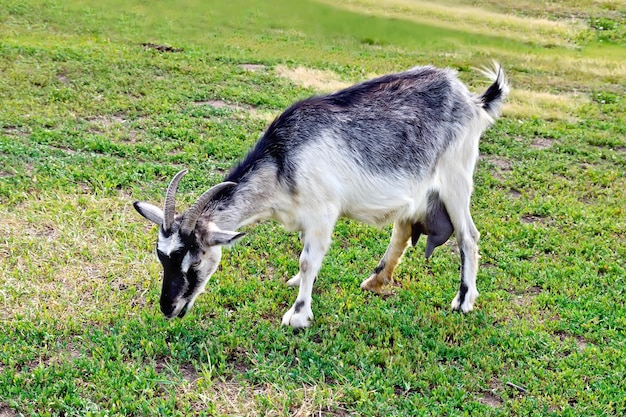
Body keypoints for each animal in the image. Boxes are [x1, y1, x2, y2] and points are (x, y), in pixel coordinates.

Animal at [133, 63, 508, 326]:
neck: (282, 161)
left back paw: (463, 301)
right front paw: (298, 282)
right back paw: (376, 280)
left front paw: (298, 315)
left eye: (195, 263)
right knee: (402, 228)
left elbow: (308, 258)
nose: (168, 308)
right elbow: (305, 256)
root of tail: (472, 101)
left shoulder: (323, 212)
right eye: (161, 258)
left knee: (468, 236)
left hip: (456, 176)